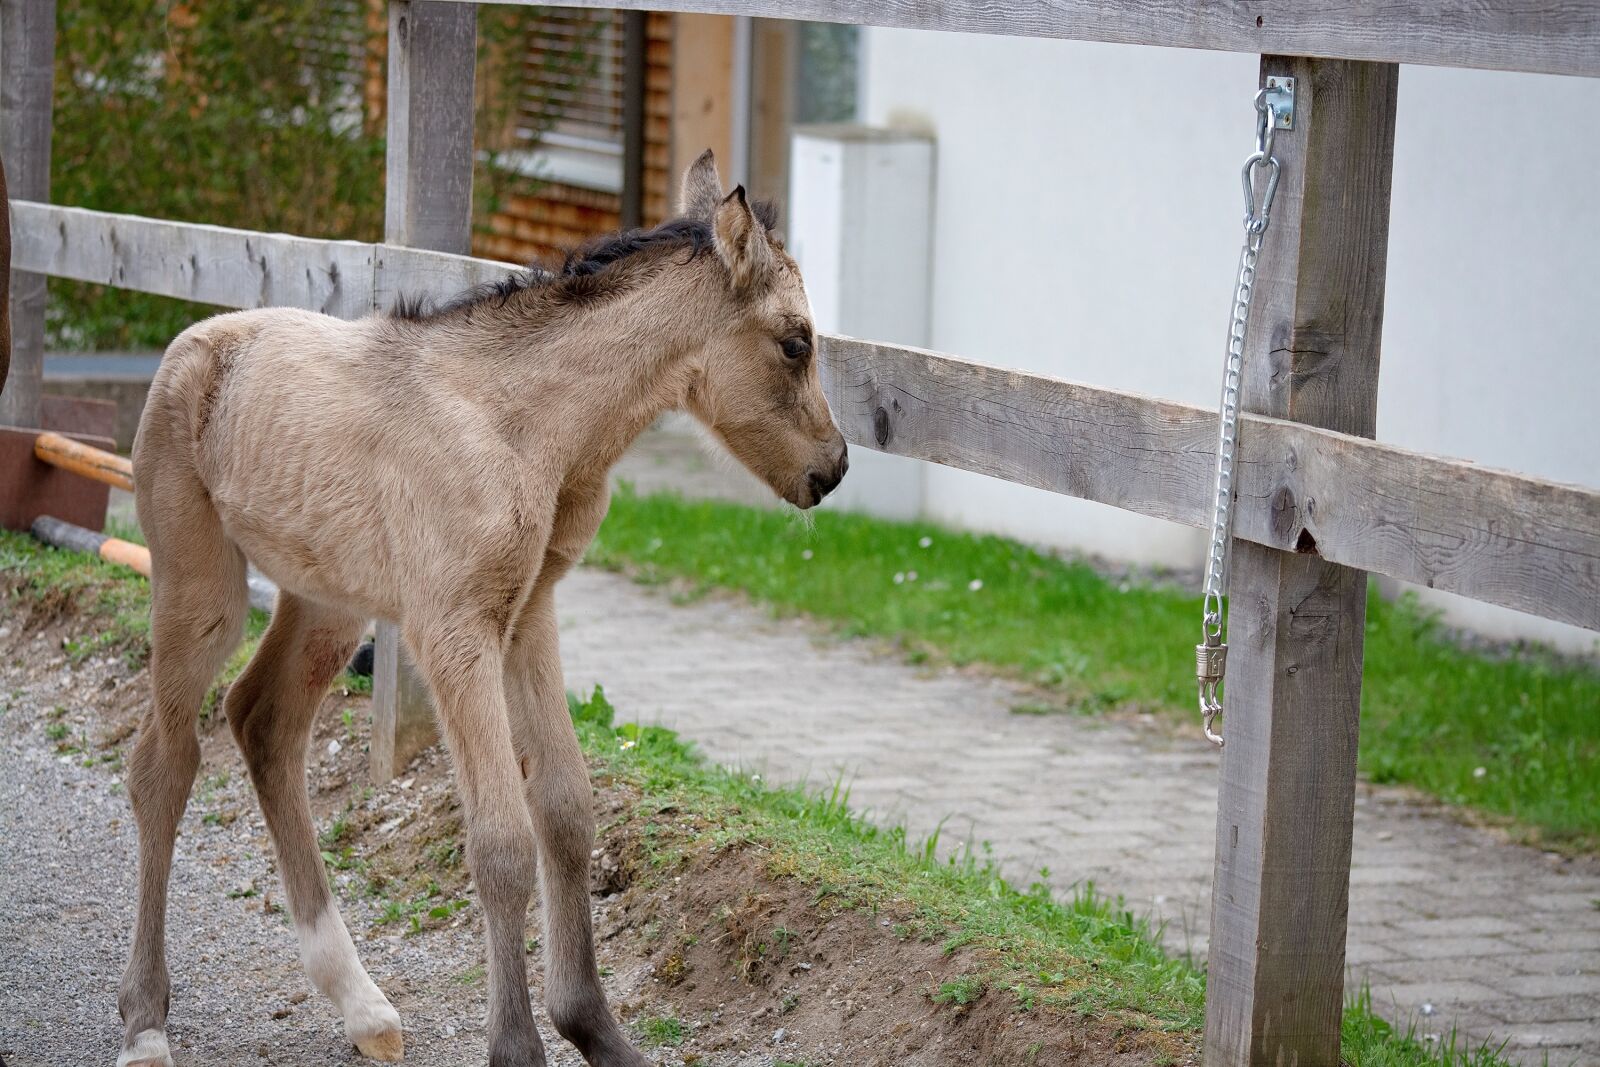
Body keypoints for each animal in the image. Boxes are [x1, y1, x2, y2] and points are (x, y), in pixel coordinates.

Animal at [118, 150, 847, 1067]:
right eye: (796, 341)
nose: (835, 467)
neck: (523, 425)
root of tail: (194, 341)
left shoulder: (530, 613)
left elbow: (566, 809)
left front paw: (596, 1027)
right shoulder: (455, 630)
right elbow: (501, 841)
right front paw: (519, 1045)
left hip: (328, 602)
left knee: (264, 721)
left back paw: (361, 1003)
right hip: (199, 585)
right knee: (163, 761)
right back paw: (145, 1020)